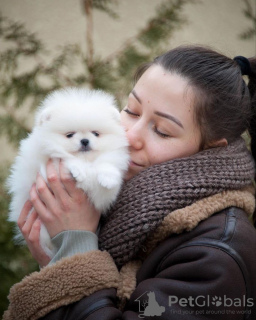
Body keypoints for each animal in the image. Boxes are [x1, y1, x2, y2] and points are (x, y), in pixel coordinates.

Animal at [7, 87, 129, 258]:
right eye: (69, 135)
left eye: (96, 133)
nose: (85, 140)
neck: (87, 161)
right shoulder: (44, 167)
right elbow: (64, 158)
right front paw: (78, 169)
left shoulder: (101, 197)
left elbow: (106, 168)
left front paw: (108, 177)